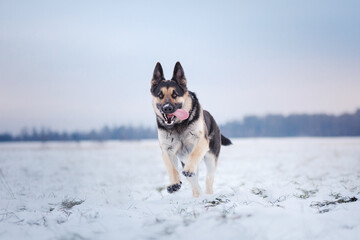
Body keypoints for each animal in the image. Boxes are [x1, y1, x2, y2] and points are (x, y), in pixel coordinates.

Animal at [150, 61, 232, 197]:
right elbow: (171, 167)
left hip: (210, 159)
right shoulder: (167, 150)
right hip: (184, 160)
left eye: (175, 94)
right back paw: (196, 194)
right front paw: (174, 183)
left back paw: (207, 194)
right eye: (160, 95)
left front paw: (188, 170)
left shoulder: (201, 142)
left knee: (208, 179)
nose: (167, 108)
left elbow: (195, 153)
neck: (178, 125)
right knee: (194, 183)